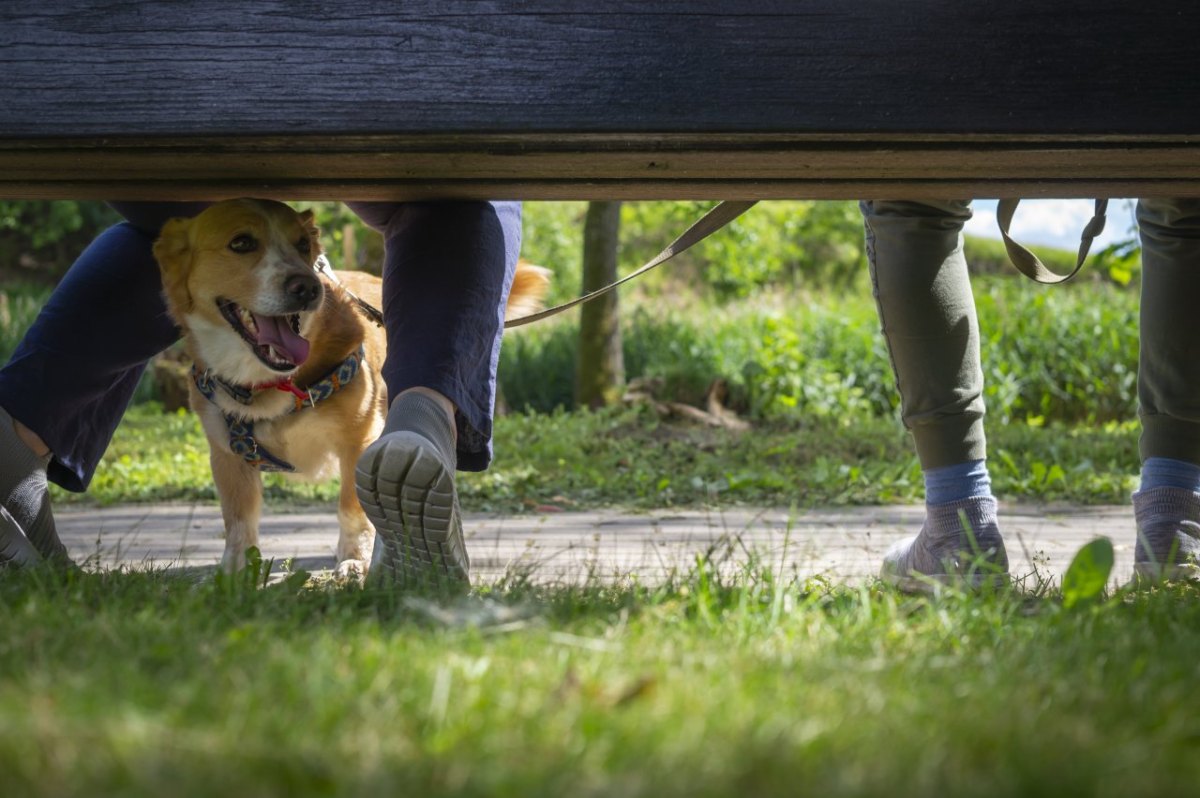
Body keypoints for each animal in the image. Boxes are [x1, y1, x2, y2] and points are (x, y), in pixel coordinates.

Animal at [151, 198, 549, 573]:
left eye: (302, 245)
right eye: (241, 243)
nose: (307, 287)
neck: (271, 386)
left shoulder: (358, 439)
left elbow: (351, 508)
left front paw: (355, 559)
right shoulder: (227, 456)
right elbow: (238, 520)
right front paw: (235, 572)